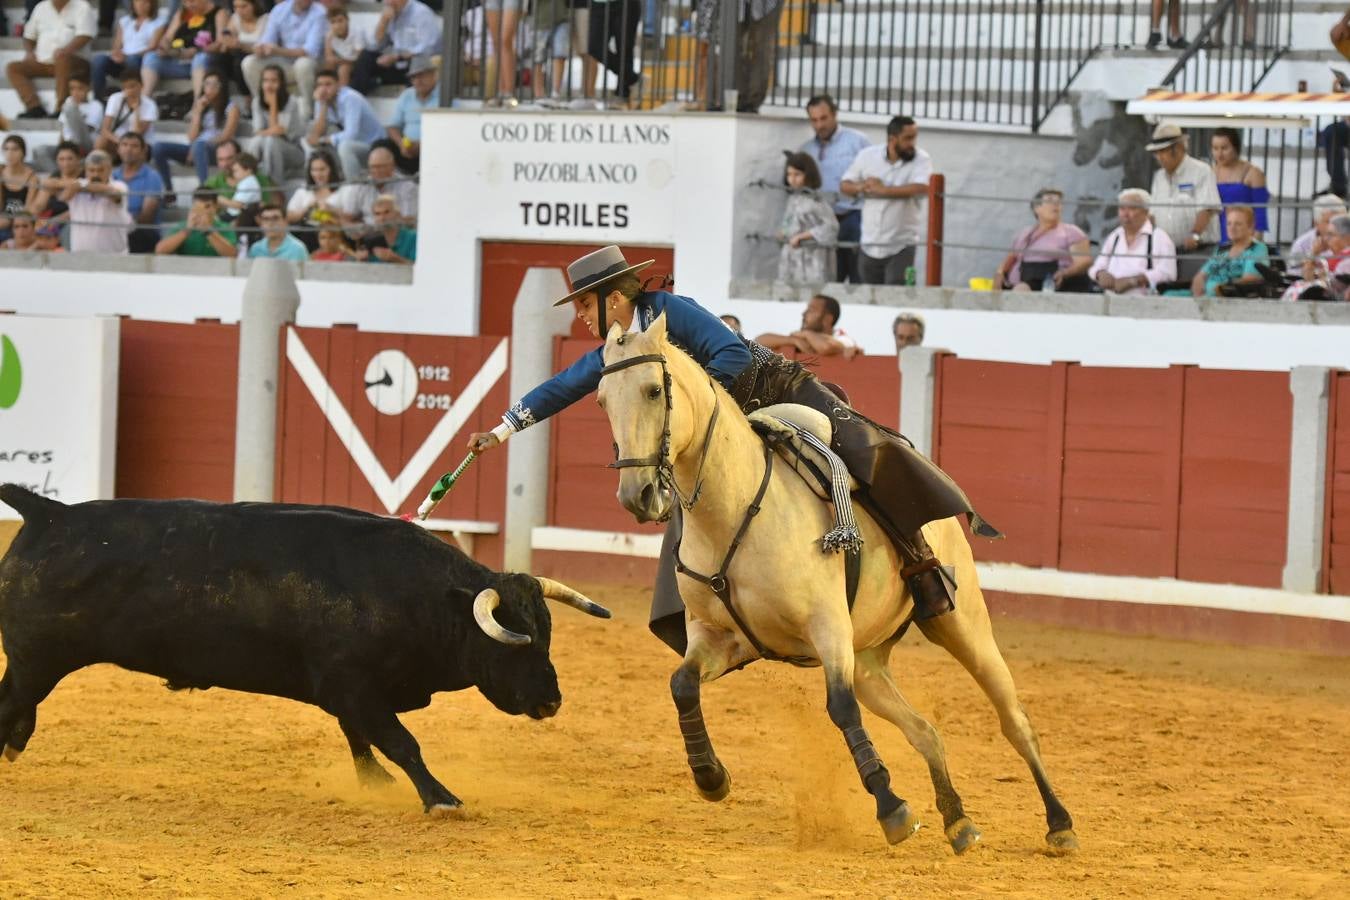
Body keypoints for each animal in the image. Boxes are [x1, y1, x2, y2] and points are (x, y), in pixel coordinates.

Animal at [0, 485, 612, 814]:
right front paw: (441, 799)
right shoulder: (353, 684)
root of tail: (49, 511)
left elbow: (361, 739)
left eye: (548, 634)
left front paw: (375, 786)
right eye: (516, 644)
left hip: (37, 662)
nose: (552, 702)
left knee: (17, 707)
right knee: (13, 702)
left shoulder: (350, 691)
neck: (420, 596)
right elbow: (400, 742)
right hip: (37, 658)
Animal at [596, 317, 1080, 858]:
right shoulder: (717, 636)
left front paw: (892, 809)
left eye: (654, 390)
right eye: (601, 400)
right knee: (925, 731)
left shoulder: (827, 628)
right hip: (868, 658)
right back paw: (958, 820)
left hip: (963, 624)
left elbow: (840, 707)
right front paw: (711, 777)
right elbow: (681, 685)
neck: (733, 509)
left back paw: (1059, 824)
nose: (637, 495)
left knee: (1014, 720)